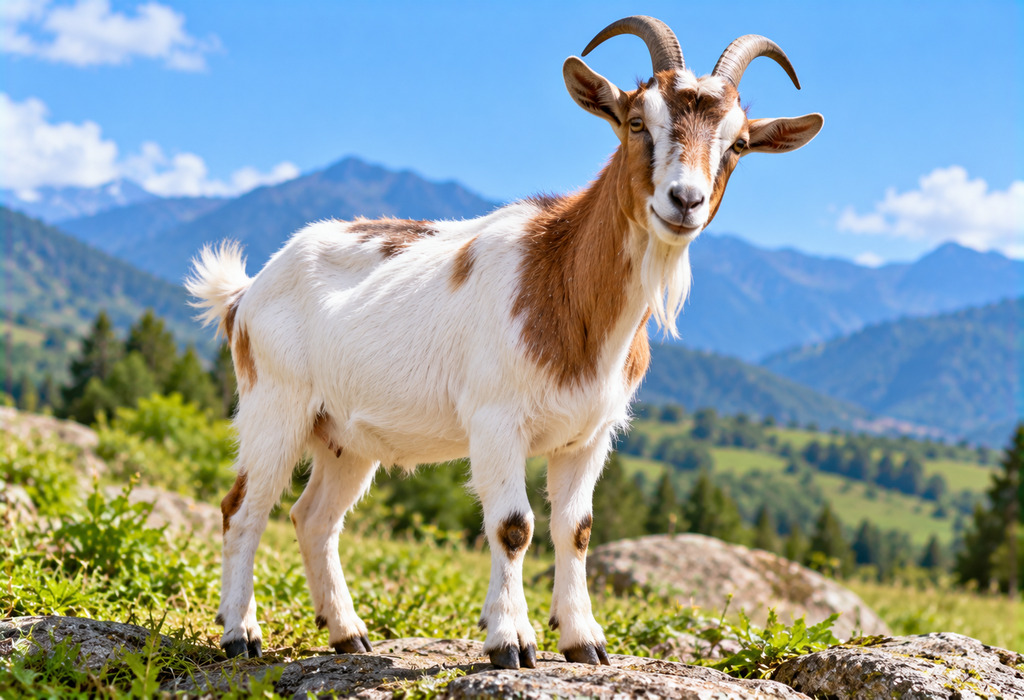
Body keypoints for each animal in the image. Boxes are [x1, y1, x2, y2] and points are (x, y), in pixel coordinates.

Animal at [187, 15, 822, 669]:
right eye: (636, 121)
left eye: (738, 145)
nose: (685, 201)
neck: (563, 279)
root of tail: (246, 293)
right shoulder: (495, 420)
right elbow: (514, 526)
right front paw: (512, 641)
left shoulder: (589, 436)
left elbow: (576, 529)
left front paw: (584, 640)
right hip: (275, 402)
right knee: (243, 508)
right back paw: (240, 634)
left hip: (344, 436)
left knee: (313, 518)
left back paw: (348, 634)